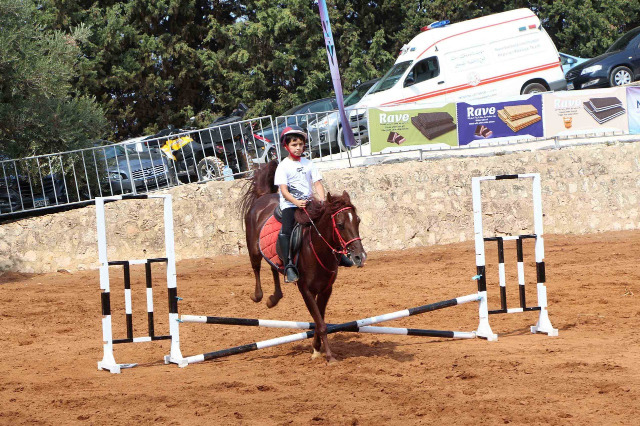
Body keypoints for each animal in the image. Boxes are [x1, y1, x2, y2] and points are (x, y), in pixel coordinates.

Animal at [240, 161, 368, 362]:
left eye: (358, 220)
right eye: (339, 225)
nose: (359, 256)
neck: (317, 250)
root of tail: (263, 197)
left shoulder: (325, 289)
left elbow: (319, 320)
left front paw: (316, 348)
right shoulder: (305, 290)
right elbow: (321, 323)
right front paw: (329, 356)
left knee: (274, 268)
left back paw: (274, 298)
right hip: (253, 249)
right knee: (257, 267)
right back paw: (258, 296)